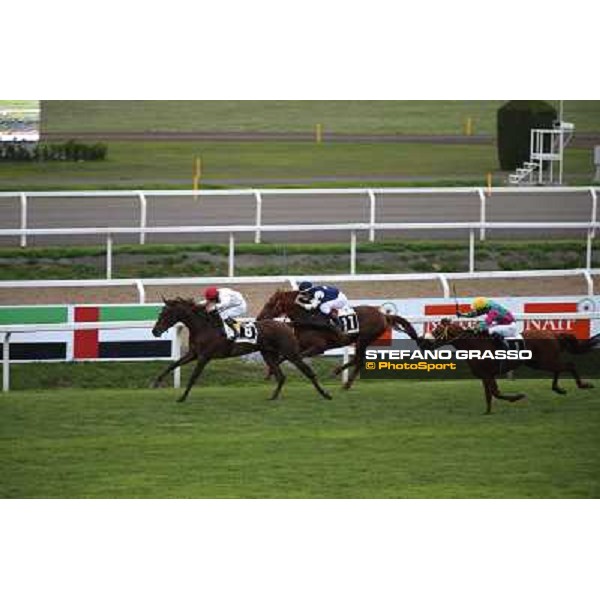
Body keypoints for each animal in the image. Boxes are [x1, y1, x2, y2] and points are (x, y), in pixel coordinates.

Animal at [149, 298, 328, 404]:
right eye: (160, 312)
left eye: (165, 313)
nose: (155, 331)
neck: (204, 327)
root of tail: (285, 324)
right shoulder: (193, 354)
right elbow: (173, 365)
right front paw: (156, 382)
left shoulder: (204, 356)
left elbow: (193, 377)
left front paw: (182, 397)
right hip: (268, 354)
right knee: (280, 376)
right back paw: (273, 397)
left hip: (291, 352)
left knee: (307, 371)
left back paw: (325, 394)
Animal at [256, 290, 422, 390]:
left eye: (270, 303)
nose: (259, 318)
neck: (309, 318)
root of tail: (384, 315)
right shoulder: (299, 346)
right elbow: (283, 358)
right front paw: (269, 373)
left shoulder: (318, 347)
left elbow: (296, 358)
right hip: (361, 341)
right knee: (357, 359)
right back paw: (340, 376)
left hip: (363, 339)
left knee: (359, 360)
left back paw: (344, 381)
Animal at [428, 318, 596, 412]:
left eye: (436, 331)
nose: (425, 343)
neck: (474, 345)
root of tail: (553, 334)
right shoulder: (484, 375)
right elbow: (489, 394)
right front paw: (487, 412)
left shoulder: (488, 374)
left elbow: (495, 392)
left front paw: (517, 397)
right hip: (539, 363)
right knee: (560, 368)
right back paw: (558, 388)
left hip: (545, 361)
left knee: (569, 365)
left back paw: (583, 385)